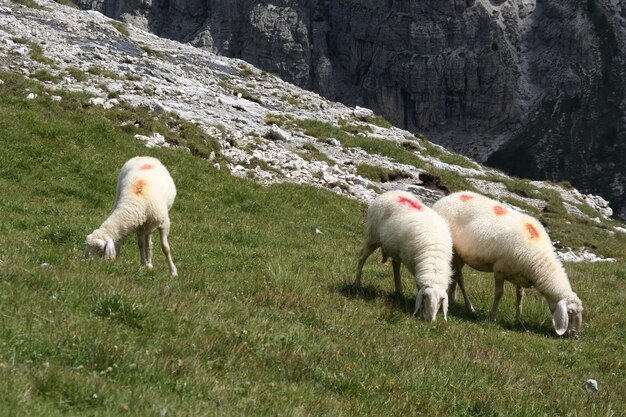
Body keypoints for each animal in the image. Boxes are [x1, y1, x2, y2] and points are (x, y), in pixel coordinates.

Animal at [354, 190, 450, 320]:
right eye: (424, 297)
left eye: (441, 300)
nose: (430, 320)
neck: (434, 258)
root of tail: (390, 192)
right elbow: (418, 286)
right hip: (372, 236)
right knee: (362, 257)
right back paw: (357, 283)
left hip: (394, 247)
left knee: (395, 264)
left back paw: (399, 291)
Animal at [432, 190, 584, 336]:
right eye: (570, 314)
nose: (574, 335)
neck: (539, 259)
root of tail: (445, 199)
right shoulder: (500, 269)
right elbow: (499, 293)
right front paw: (493, 317)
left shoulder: (521, 273)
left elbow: (520, 295)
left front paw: (518, 317)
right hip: (454, 251)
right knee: (460, 279)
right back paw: (469, 307)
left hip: (460, 256)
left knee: (455, 277)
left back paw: (453, 299)